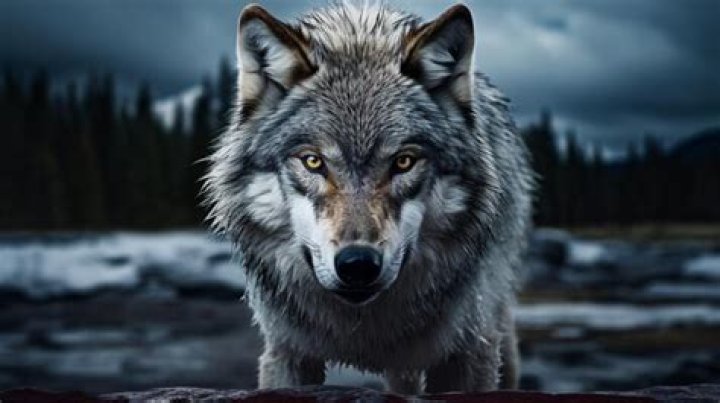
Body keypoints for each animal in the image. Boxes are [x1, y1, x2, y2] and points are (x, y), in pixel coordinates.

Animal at [204, 1, 533, 394]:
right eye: (313, 161)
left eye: (403, 162)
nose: (357, 264)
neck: (363, 327)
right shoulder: (286, 352)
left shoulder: (468, 352)